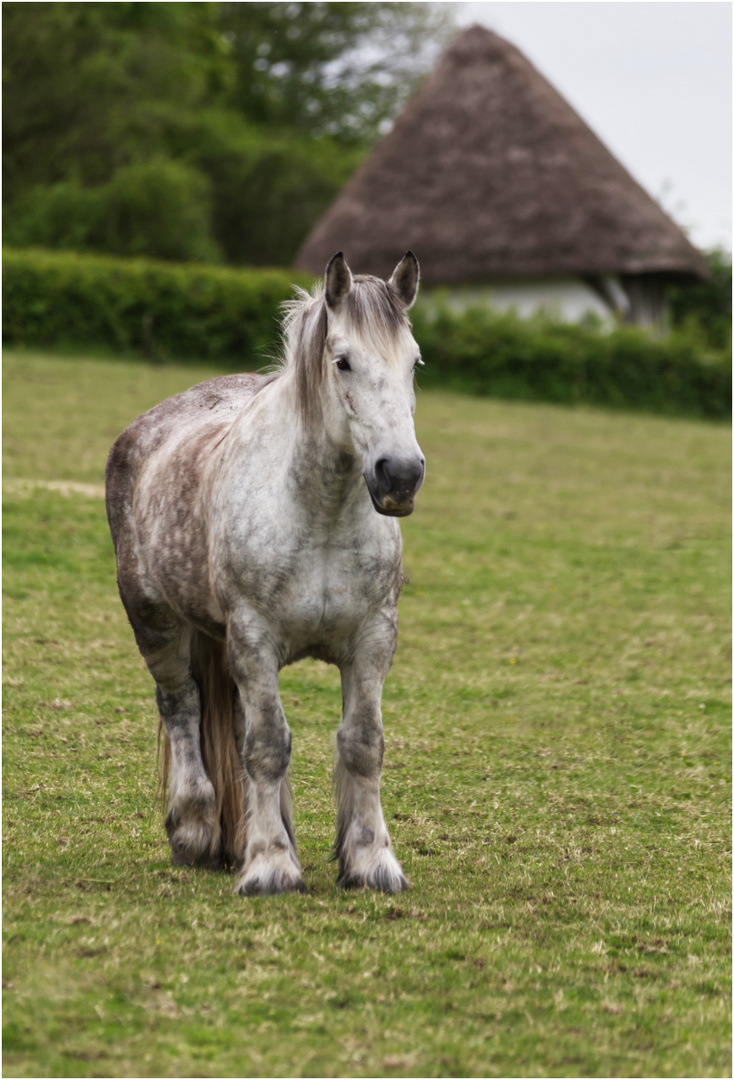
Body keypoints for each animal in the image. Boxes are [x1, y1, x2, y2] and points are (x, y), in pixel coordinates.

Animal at [104, 250, 425, 894]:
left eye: (415, 362)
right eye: (343, 361)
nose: (400, 474)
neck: (320, 517)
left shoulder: (373, 639)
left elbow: (363, 743)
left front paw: (371, 861)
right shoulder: (253, 638)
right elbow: (268, 746)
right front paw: (272, 865)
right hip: (155, 622)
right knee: (182, 707)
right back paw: (195, 831)